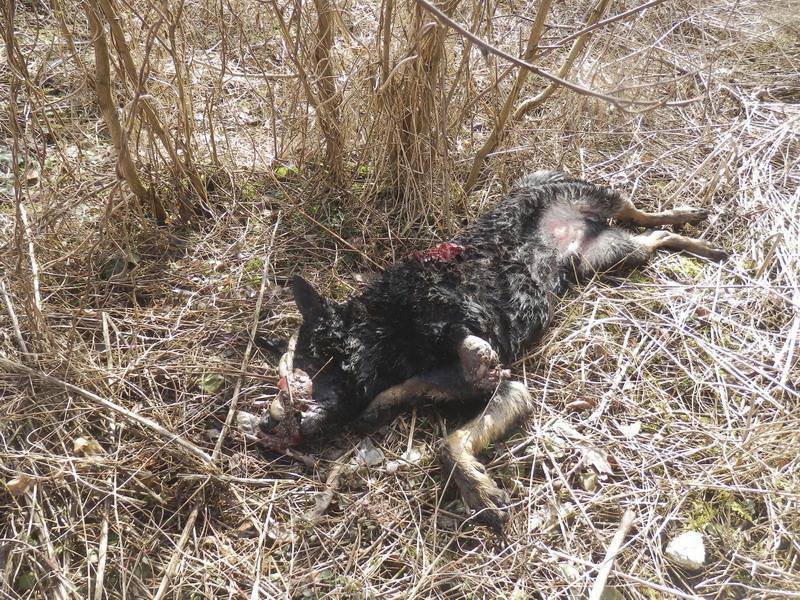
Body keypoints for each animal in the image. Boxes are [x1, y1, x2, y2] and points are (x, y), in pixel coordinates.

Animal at [260, 169, 728, 528]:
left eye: (305, 361)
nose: (266, 424)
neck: (387, 336)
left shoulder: (453, 320)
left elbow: (459, 347)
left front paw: (477, 487)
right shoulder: (498, 390)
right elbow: (444, 430)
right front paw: (475, 485)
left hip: (594, 199)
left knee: (639, 212)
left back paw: (691, 221)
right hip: (605, 257)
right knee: (653, 237)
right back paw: (694, 241)